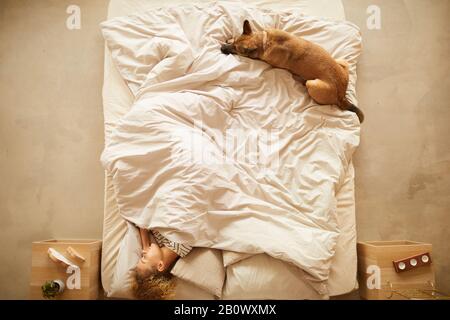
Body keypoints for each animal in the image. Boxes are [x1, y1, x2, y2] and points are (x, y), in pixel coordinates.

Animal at [221, 20, 366, 122]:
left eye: (236, 50)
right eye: (234, 44)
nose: (221, 48)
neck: (265, 42)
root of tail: (342, 96)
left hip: (313, 84)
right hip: (343, 62)